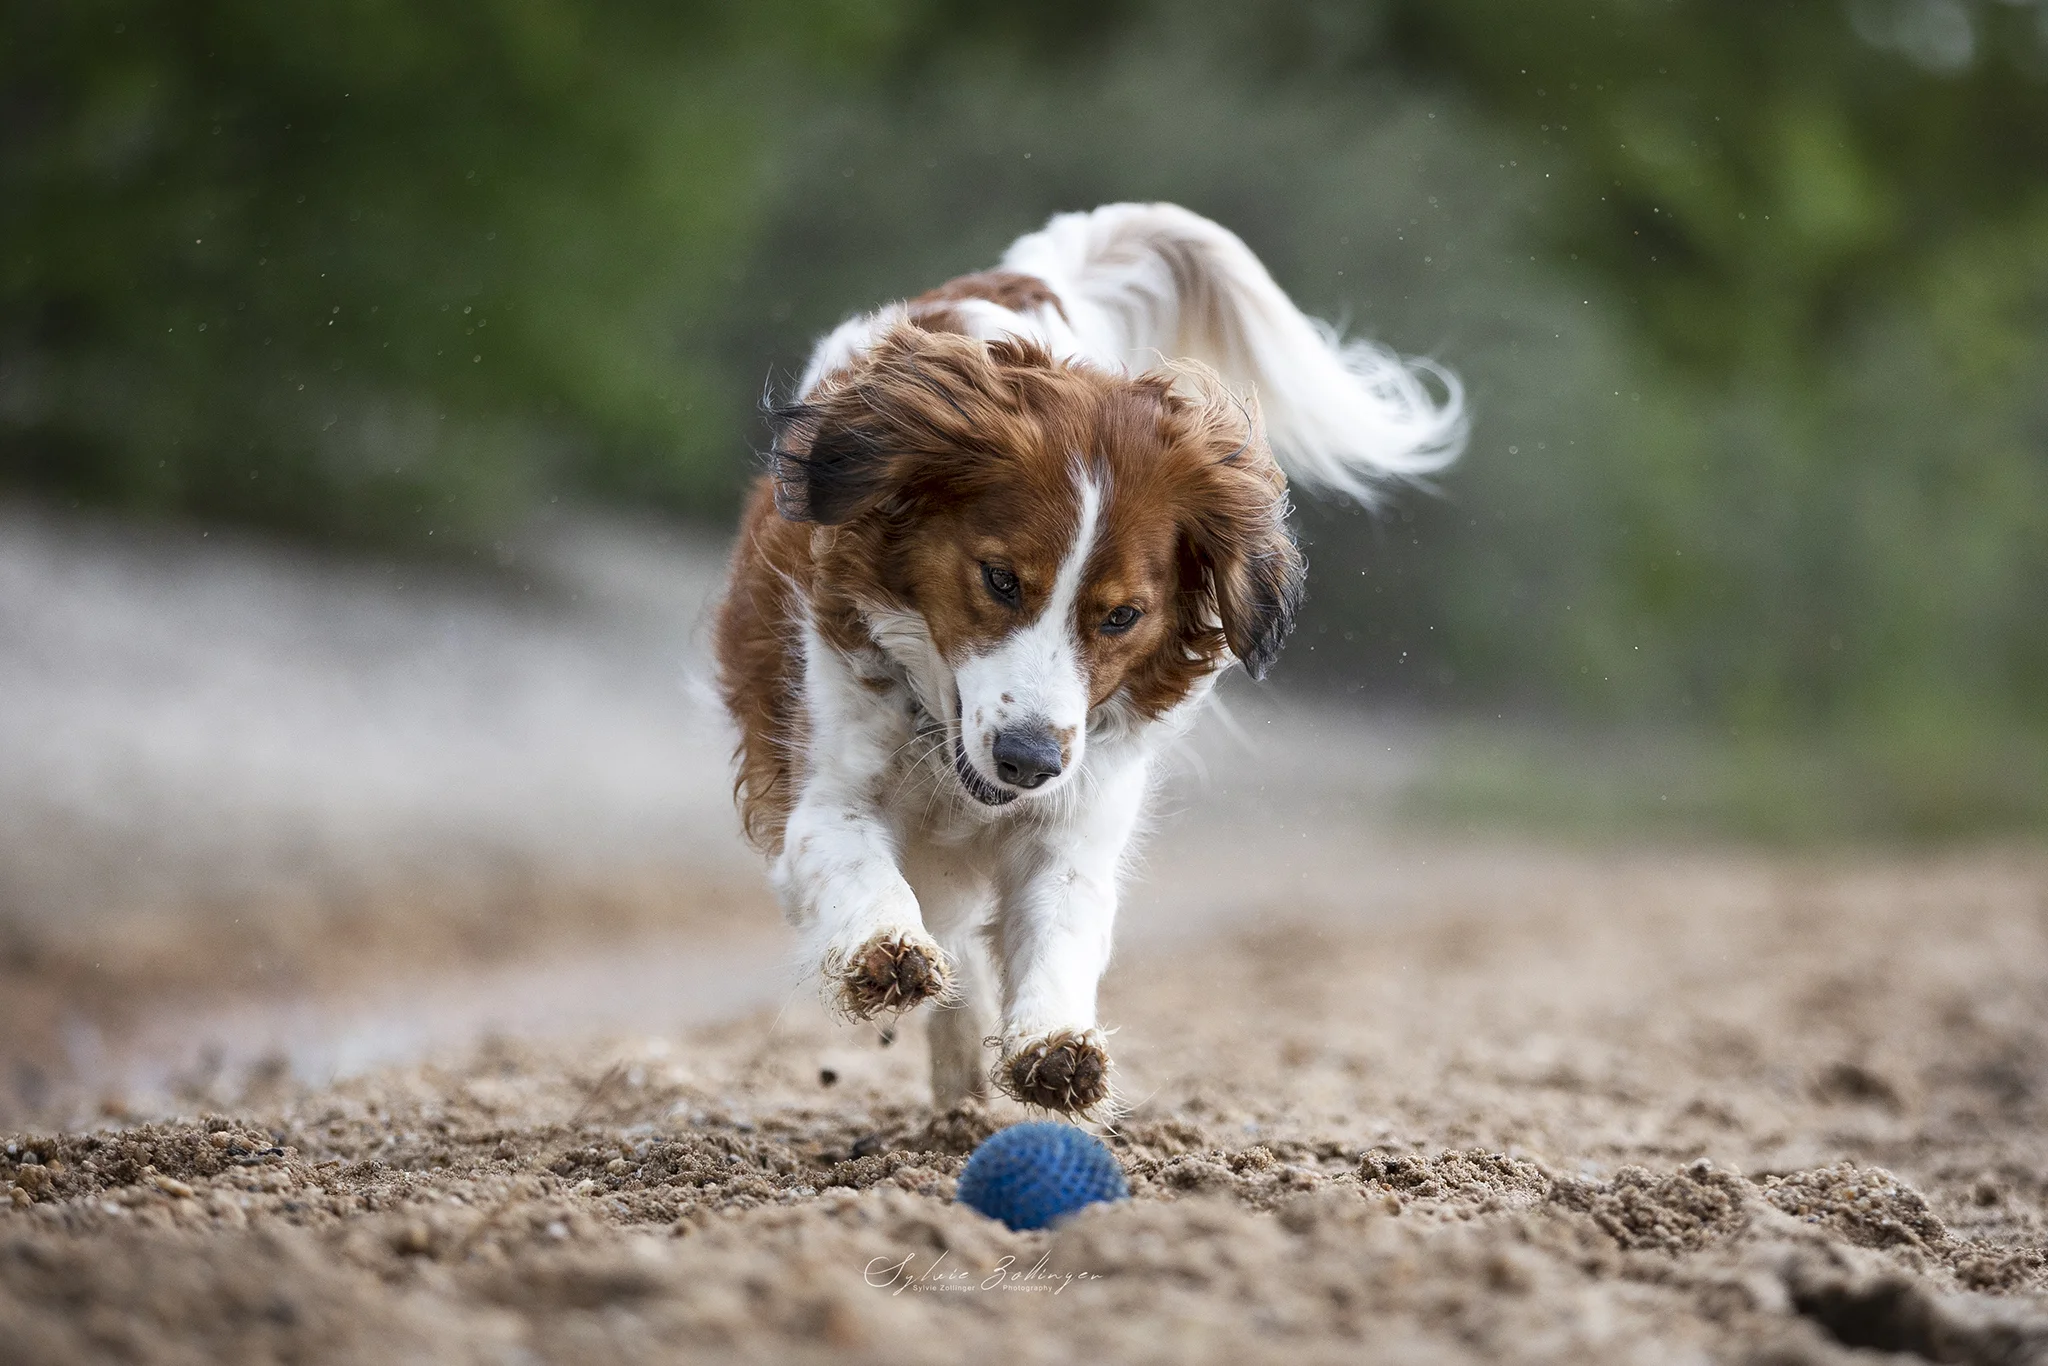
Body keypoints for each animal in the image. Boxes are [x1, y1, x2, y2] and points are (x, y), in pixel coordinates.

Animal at [712, 205, 1466, 1122]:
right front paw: (886, 950)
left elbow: (1060, 929)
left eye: (1121, 616)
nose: (1029, 760)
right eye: (1000, 579)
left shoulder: (1076, 816)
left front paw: (1056, 1043)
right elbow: (862, 869)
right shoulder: (822, 793)